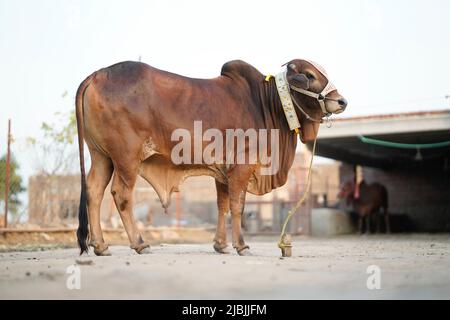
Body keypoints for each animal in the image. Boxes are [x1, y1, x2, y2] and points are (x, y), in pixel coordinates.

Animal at [75, 59, 346, 255]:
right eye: (309, 75)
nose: (341, 101)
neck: (266, 104)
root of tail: (97, 75)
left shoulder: (223, 172)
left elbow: (222, 206)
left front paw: (221, 245)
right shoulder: (242, 167)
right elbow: (237, 206)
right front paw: (241, 245)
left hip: (102, 156)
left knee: (94, 191)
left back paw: (100, 245)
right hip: (126, 158)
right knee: (121, 194)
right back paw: (139, 243)